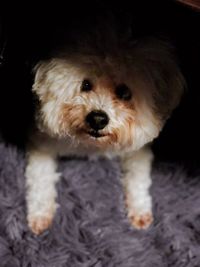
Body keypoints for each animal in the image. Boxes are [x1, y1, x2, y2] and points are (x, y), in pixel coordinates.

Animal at [25, 17, 184, 234]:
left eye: (124, 92)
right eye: (85, 85)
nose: (98, 119)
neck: (94, 144)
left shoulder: (138, 150)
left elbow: (139, 178)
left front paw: (140, 209)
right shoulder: (43, 142)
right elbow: (40, 176)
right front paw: (40, 214)